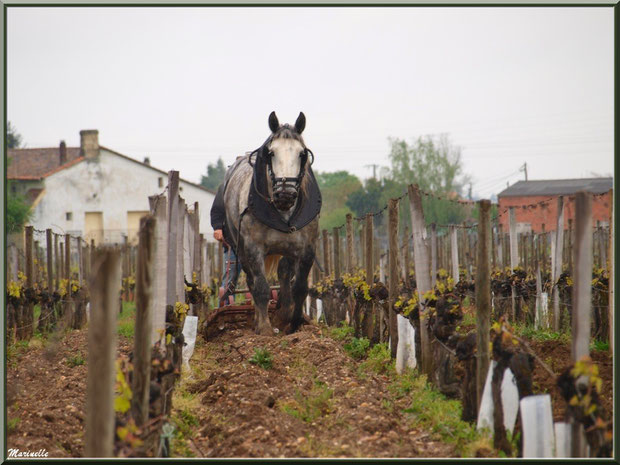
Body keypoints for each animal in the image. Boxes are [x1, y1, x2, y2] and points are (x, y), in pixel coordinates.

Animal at [222, 112, 320, 336]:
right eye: (271, 153)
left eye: (302, 154)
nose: (285, 194)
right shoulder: (253, 247)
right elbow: (261, 288)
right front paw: (265, 328)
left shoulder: (307, 248)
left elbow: (300, 287)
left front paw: (293, 323)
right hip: (240, 249)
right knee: (252, 282)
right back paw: (260, 321)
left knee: (284, 273)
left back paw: (284, 310)